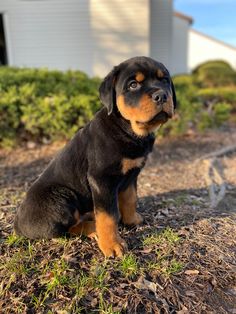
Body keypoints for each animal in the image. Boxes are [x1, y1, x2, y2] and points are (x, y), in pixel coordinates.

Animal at [13, 57, 176, 258]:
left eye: (164, 80)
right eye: (133, 85)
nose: (161, 95)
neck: (128, 129)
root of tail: (17, 225)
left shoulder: (131, 175)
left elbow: (130, 199)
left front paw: (131, 220)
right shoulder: (102, 179)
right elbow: (108, 216)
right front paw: (112, 245)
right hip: (62, 198)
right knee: (65, 229)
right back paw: (93, 228)